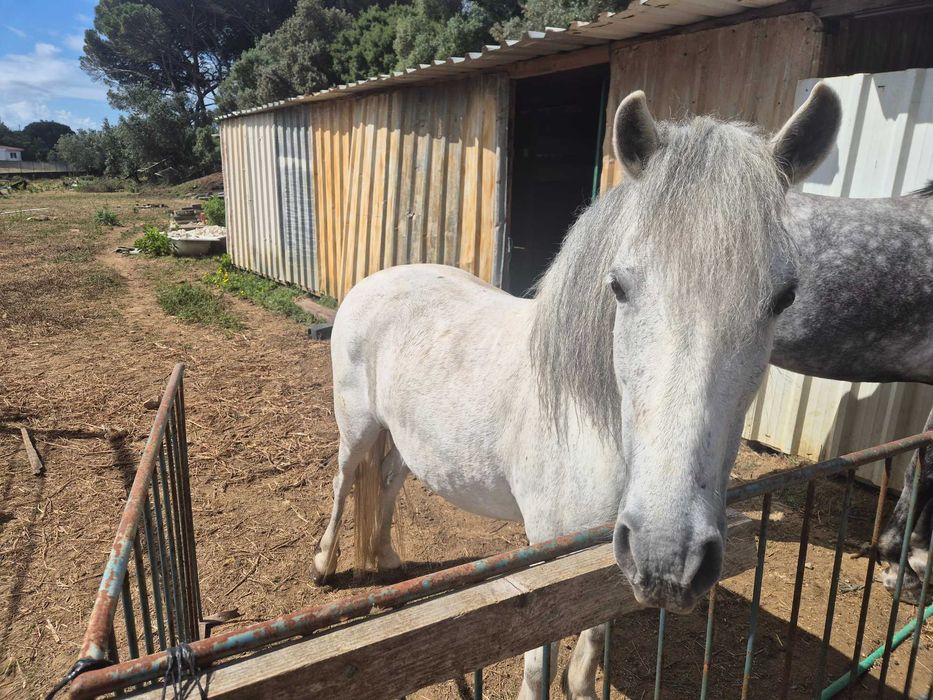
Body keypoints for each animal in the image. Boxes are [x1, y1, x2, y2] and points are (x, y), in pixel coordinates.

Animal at [311, 85, 842, 699]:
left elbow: (591, 640)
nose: (671, 556)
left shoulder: (608, 552)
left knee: (390, 482)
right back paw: (324, 566)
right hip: (357, 426)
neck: (591, 427)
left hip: (404, 436)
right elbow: (539, 665)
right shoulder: (545, 553)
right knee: (344, 481)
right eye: (619, 286)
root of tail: (375, 281)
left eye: (784, 297)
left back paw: (389, 558)